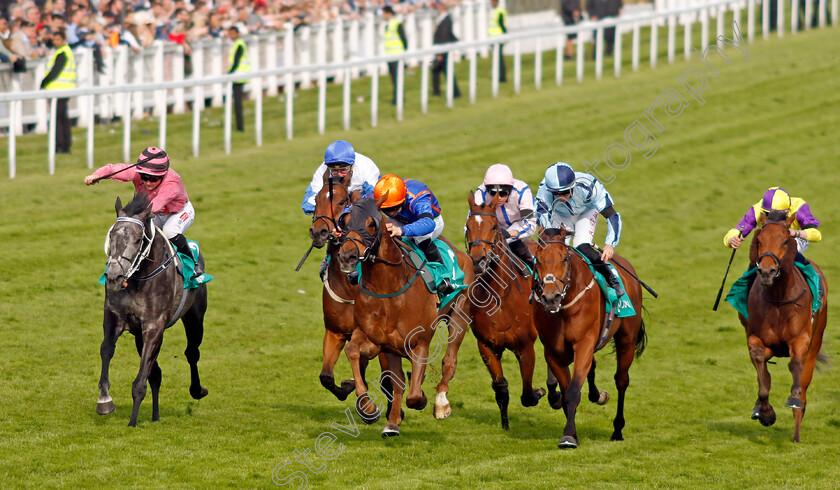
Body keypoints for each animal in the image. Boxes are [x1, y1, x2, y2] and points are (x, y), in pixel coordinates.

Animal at [306, 170, 390, 424]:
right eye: (316, 200)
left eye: (342, 202)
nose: (319, 232)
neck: (348, 287)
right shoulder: (335, 331)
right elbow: (326, 376)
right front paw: (347, 389)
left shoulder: (371, 336)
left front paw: (367, 406)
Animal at [338, 194, 476, 436]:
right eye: (344, 221)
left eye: (371, 224)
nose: (347, 256)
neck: (388, 288)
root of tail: (459, 252)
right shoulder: (380, 341)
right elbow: (355, 352)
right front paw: (373, 410)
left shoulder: (419, 342)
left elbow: (413, 394)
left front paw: (422, 398)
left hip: (459, 316)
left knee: (449, 361)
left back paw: (441, 403)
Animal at [466, 191, 544, 428]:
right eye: (468, 226)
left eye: (493, 226)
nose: (478, 260)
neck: (500, 297)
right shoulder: (487, 346)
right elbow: (501, 387)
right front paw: (505, 425)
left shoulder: (525, 346)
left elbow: (527, 394)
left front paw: (541, 392)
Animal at [532, 228, 648, 450]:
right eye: (537, 259)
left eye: (565, 258)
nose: (551, 298)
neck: (565, 308)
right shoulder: (553, 352)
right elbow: (567, 391)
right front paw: (572, 433)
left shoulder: (584, 344)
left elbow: (573, 391)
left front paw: (568, 436)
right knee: (593, 367)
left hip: (627, 340)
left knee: (622, 380)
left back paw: (617, 430)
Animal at [740, 211, 828, 444]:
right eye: (759, 240)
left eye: (785, 240)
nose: (767, 272)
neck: (778, 298)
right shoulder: (756, 339)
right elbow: (762, 376)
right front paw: (765, 412)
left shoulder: (801, 340)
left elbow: (795, 366)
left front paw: (793, 398)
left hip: (816, 341)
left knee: (804, 388)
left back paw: (797, 431)